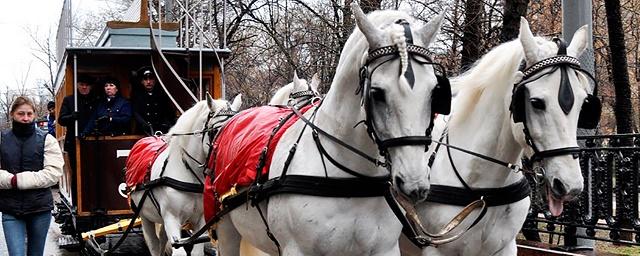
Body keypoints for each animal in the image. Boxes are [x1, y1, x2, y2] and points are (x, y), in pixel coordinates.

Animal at [404, 17, 596, 255]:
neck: (485, 191)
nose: (570, 186)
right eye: (536, 103)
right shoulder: (435, 249)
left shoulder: (505, 247)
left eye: (583, 103)